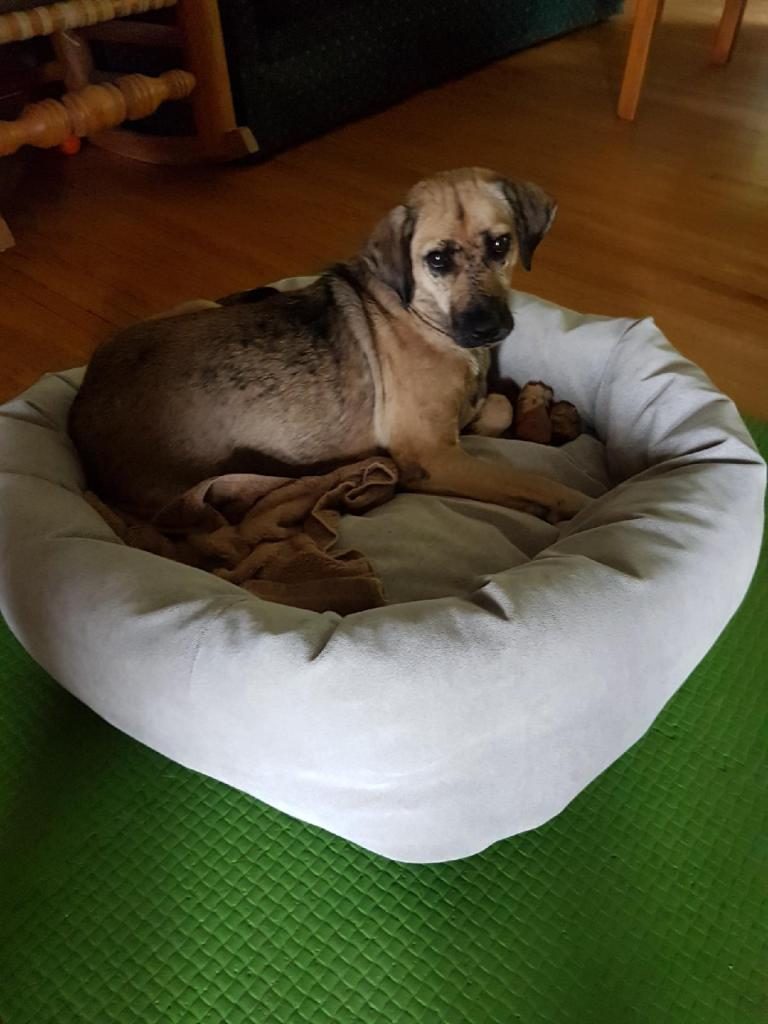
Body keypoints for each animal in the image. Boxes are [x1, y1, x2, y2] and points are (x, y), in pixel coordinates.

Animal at [70, 168, 589, 524]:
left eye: (501, 245)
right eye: (437, 260)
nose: (487, 328)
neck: (424, 317)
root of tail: (80, 409)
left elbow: (497, 406)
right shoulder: (433, 459)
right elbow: (533, 482)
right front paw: (575, 505)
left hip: (196, 304)